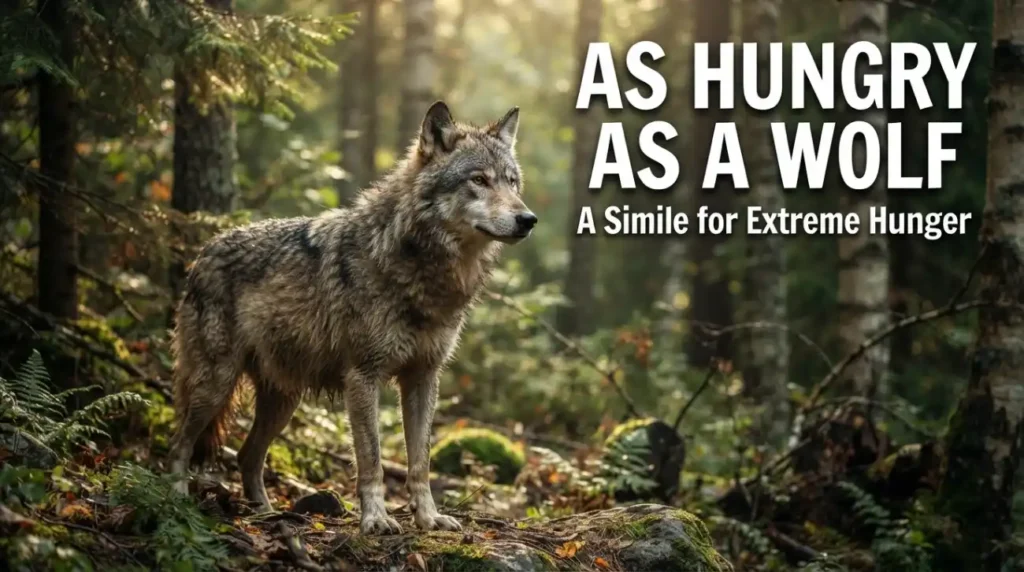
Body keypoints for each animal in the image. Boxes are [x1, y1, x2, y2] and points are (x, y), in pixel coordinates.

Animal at [167, 102, 535, 534]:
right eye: (479, 179)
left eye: (512, 182)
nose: (528, 219)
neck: (419, 270)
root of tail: (204, 250)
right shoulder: (363, 376)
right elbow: (371, 460)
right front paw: (376, 519)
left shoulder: (423, 379)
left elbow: (420, 462)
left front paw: (429, 518)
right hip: (215, 385)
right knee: (180, 443)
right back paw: (175, 498)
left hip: (282, 401)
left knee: (247, 456)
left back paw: (267, 513)